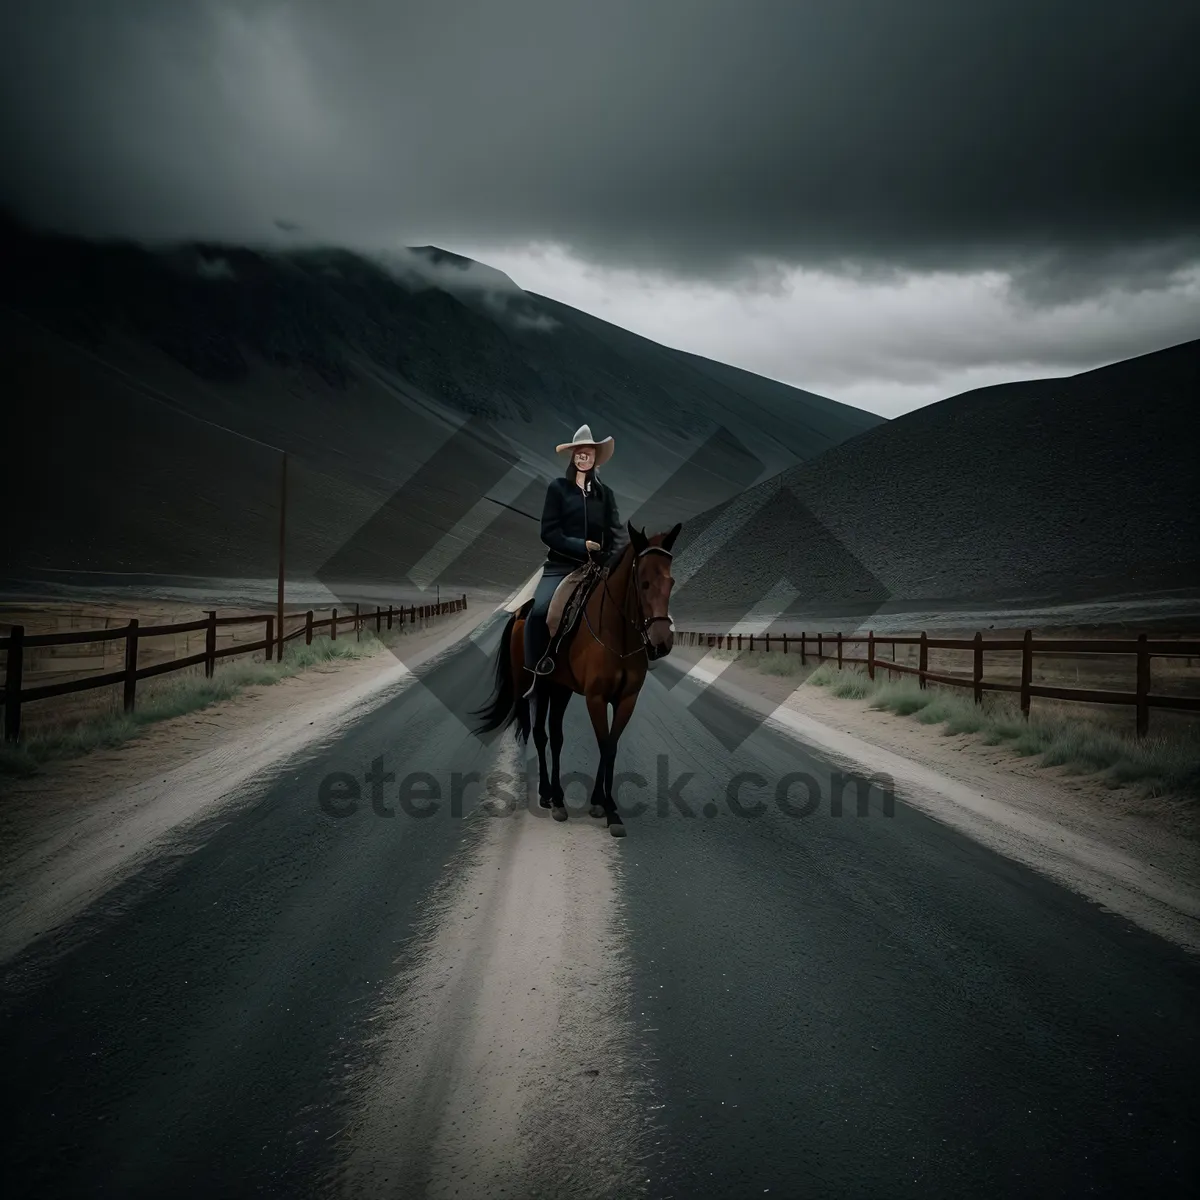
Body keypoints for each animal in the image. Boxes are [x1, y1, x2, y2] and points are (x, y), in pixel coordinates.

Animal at [470, 520, 681, 840]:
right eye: (643, 583)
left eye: (671, 583)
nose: (661, 643)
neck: (617, 635)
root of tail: (521, 612)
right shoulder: (596, 698)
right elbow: (604, 744)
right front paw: (609, 808)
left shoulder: (626, 700)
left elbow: (611, 746)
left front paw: (600, 802)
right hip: (535, 686)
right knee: (540, 734)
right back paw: (549, 796)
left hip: (559, 689)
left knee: (555, 736)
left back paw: (554, 795)